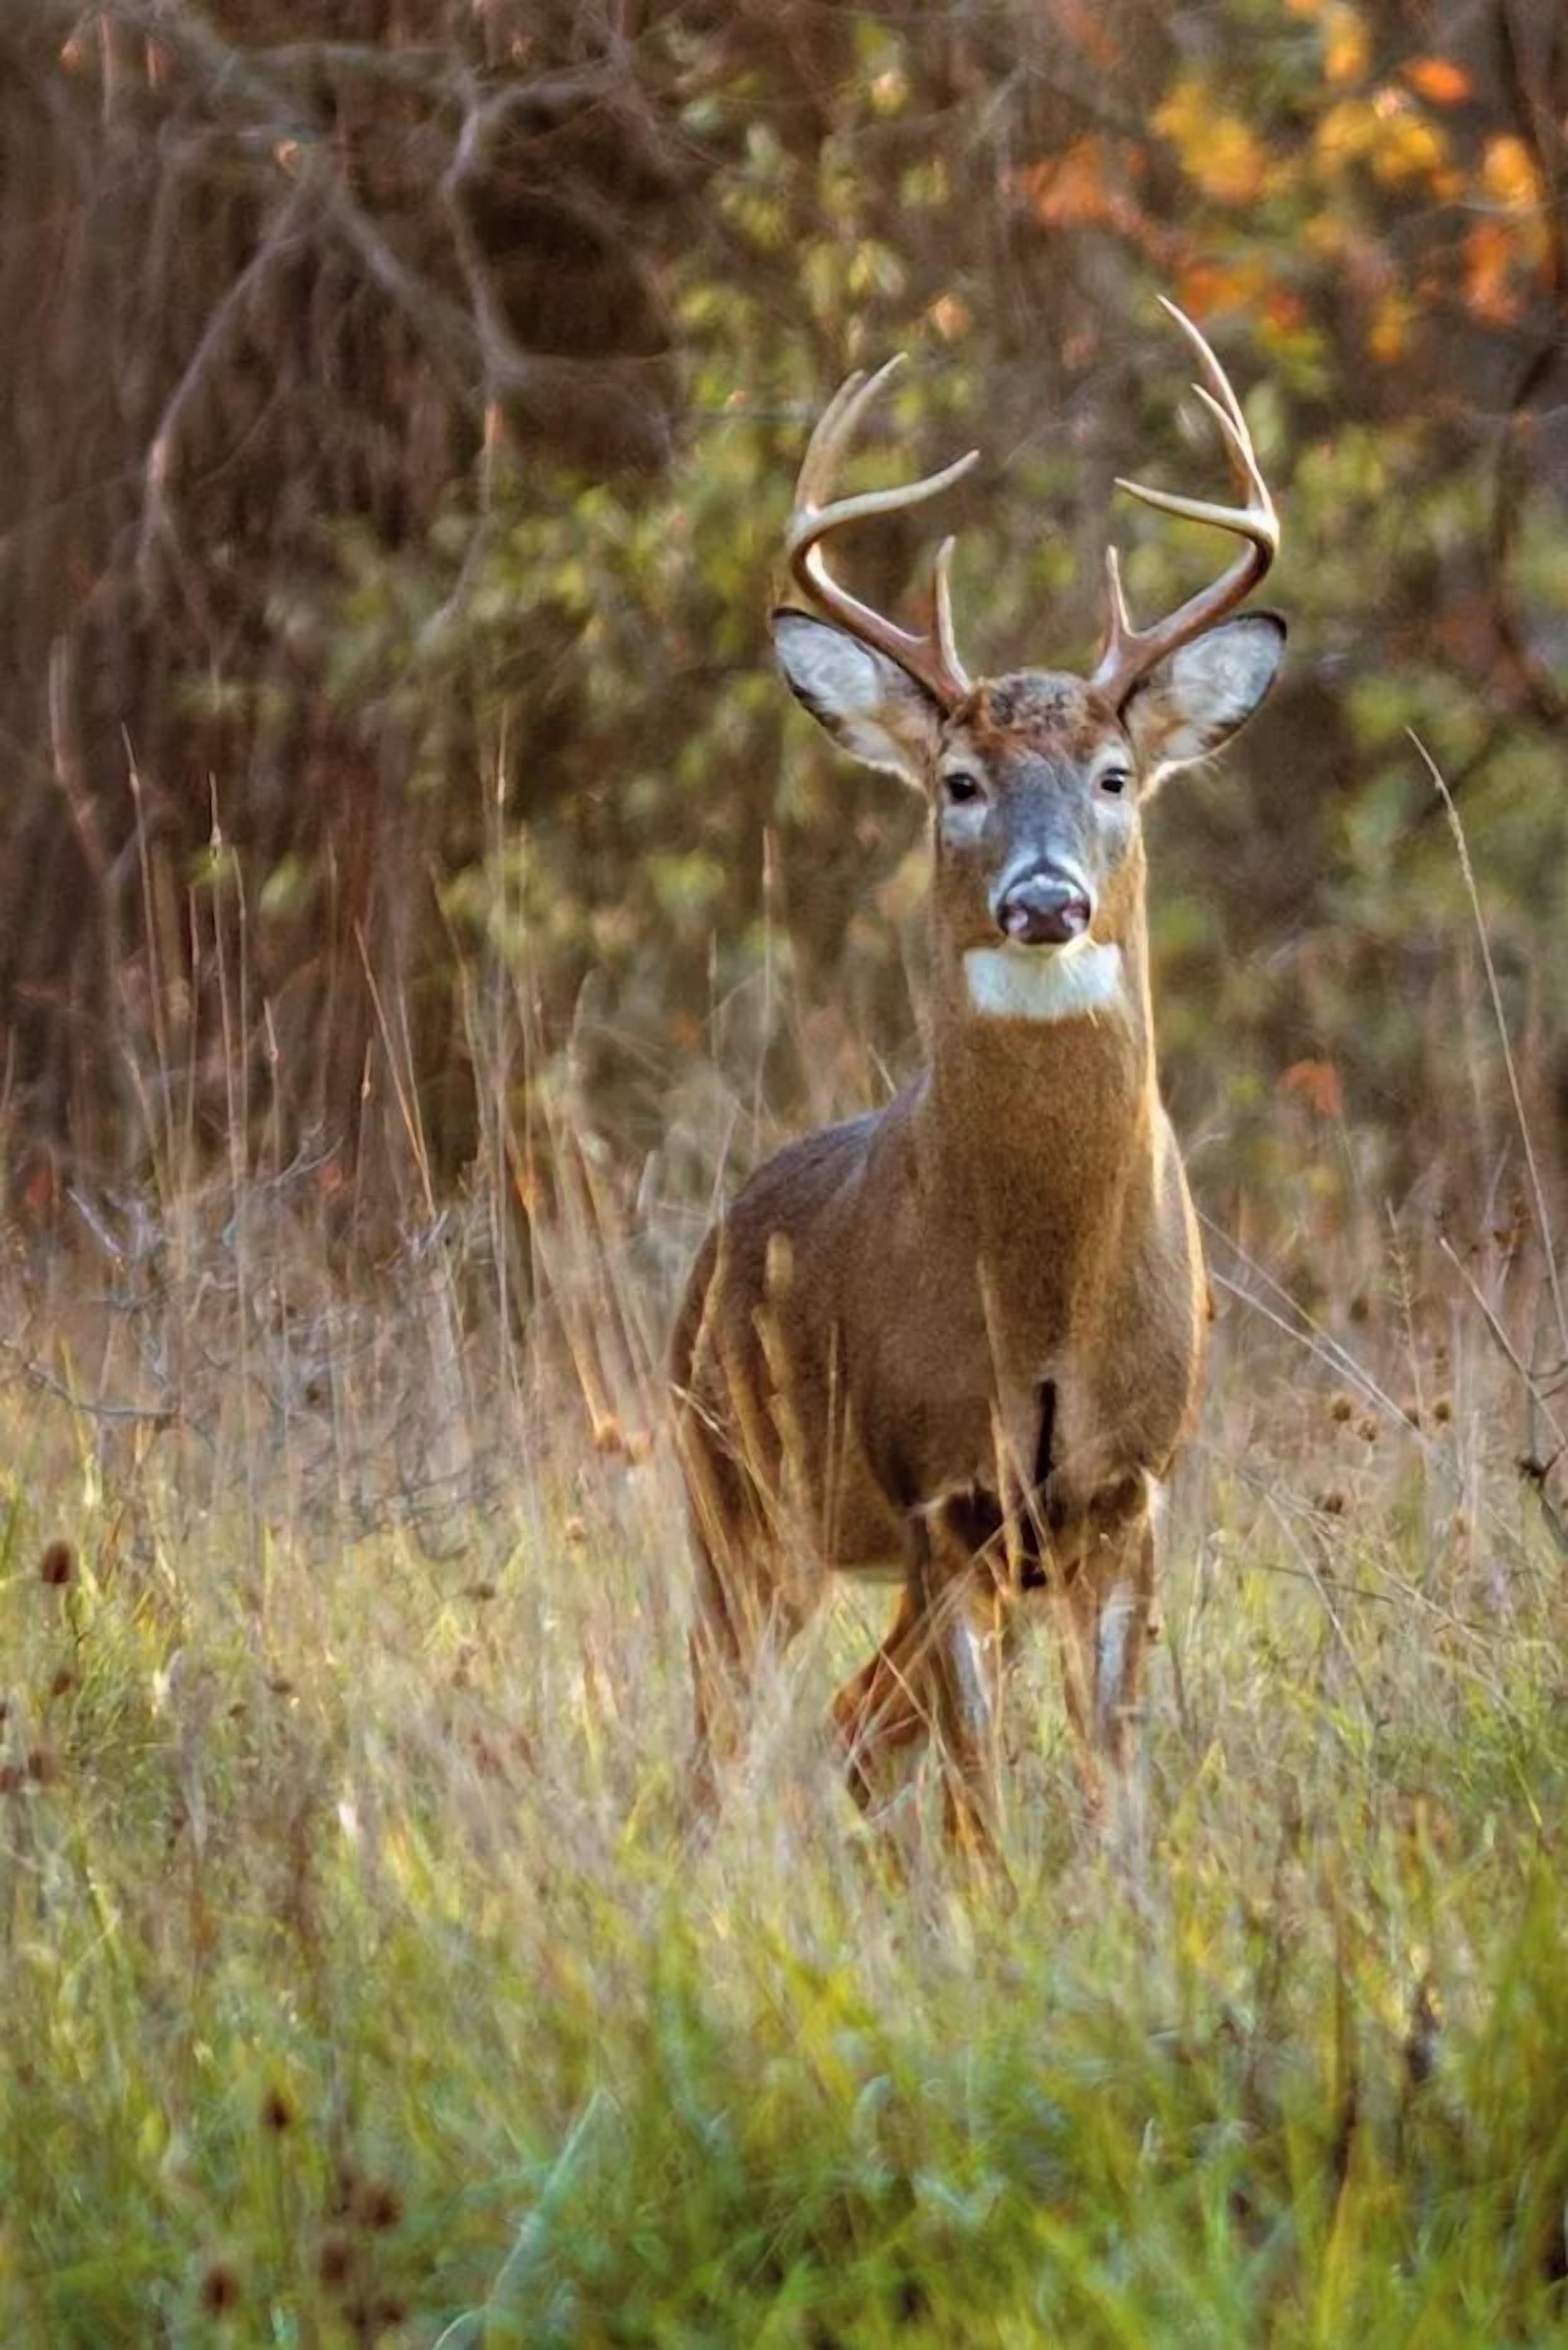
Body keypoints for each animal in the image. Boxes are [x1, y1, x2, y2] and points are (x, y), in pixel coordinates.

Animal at [669, 304, 1283, 1849]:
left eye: (1115, 774)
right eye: (958, 780)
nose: (1044, 898)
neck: (1043, 1293)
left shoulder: (1126, 1486)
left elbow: (1108, 1767)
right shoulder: (938, 1481)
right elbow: (977, 1783)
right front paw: (991, 1895)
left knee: (844, 1730)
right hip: (732, 1488)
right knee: (723, 1744)